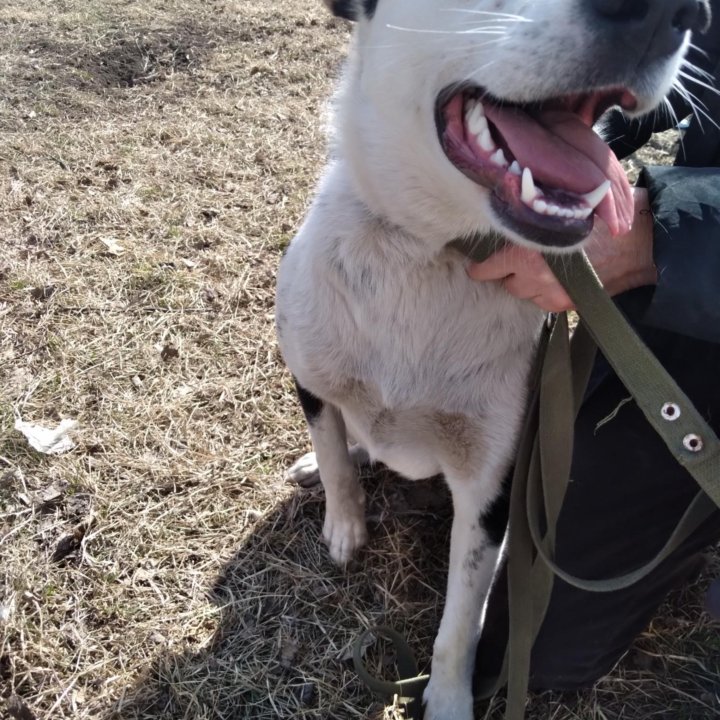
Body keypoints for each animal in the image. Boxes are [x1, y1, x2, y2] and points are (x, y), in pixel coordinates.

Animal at [272, 2, 704, 716]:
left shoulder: (490, 488)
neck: (428, 253)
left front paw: (448, 700)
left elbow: (459, 625)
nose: (678, 12)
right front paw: (344, 523)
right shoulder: (308, 373)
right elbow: (332, 451)